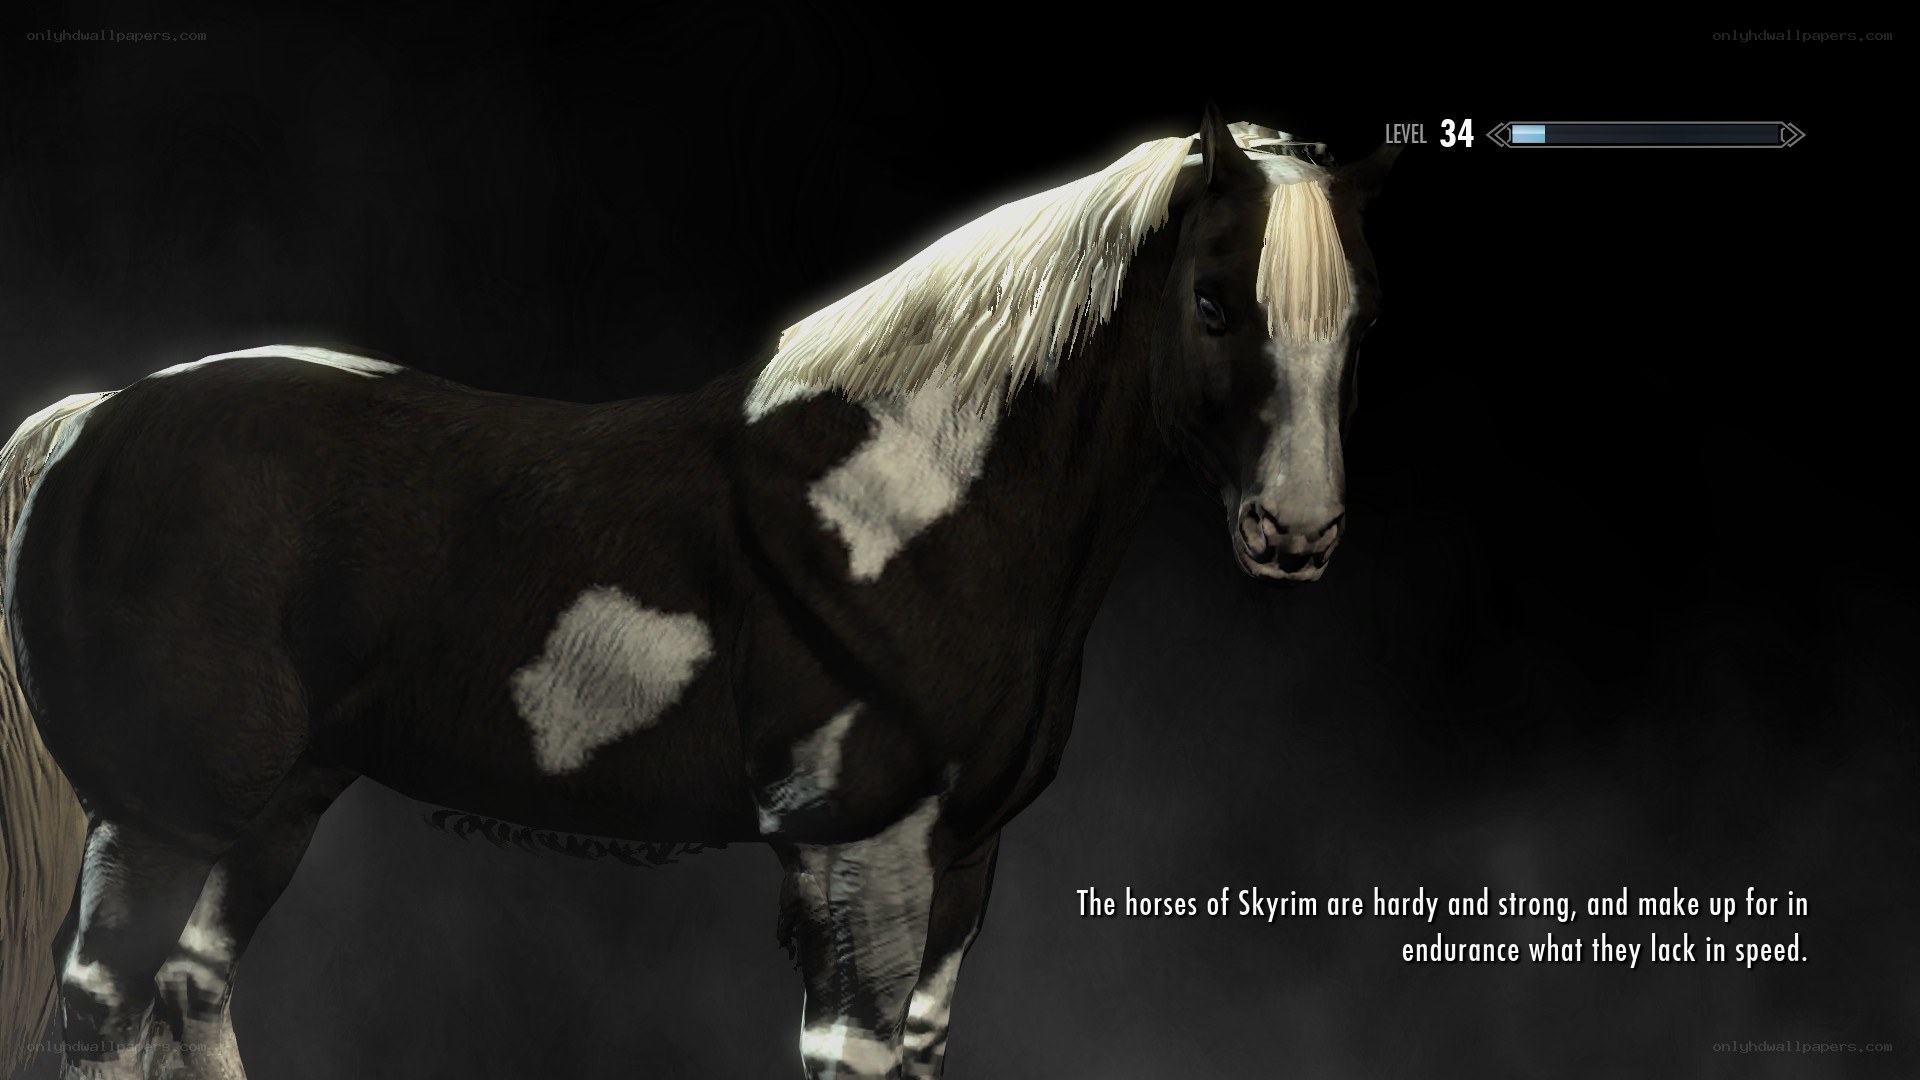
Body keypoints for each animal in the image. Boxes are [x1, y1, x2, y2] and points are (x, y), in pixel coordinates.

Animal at [0, 106, 1396, 1079]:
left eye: (1361, 322)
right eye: (1211, 302)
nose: (1296, 534)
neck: (914, 498)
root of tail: (98, 421)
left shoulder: (965, 863)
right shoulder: (862, 856)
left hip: (272, 805)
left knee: (188, 991)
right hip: (162, 815)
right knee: (104, 1011)